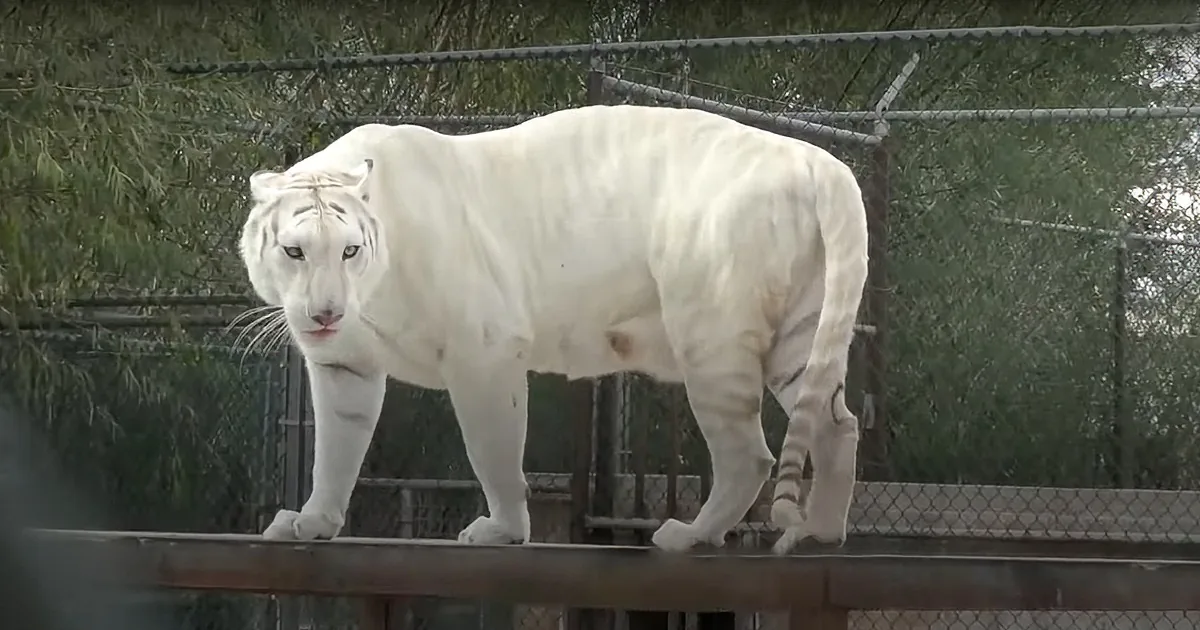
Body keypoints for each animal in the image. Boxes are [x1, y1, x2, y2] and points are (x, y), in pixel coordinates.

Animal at [236, 103, 869, 554]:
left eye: (349, 251)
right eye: (295, 251)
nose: (325, 314)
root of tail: (817, 159)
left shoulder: (483, 352)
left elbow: (492, 449)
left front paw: (501, 531)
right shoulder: (345, 363)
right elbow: (335, 449)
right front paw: (313, 521)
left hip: (712, 338)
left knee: (749, 454)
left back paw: (689, 535)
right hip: (800, 336)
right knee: (838, 423)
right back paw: (822, 531)